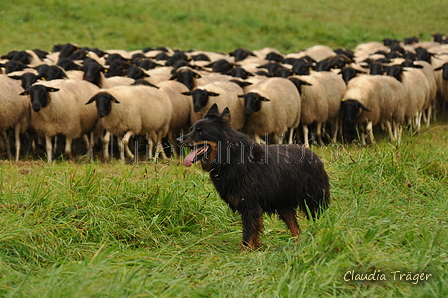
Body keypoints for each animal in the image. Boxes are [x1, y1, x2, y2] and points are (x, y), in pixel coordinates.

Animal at [176, 103, 328, 250]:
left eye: (200, 131)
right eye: (192, 129)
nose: (177, 140)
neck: (231, 157)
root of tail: (314, 156)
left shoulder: (250, 205)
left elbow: (248, 233)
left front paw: (244, 253)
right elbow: (254, 232)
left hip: (313, 203)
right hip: (284, 205)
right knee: (296, 229)